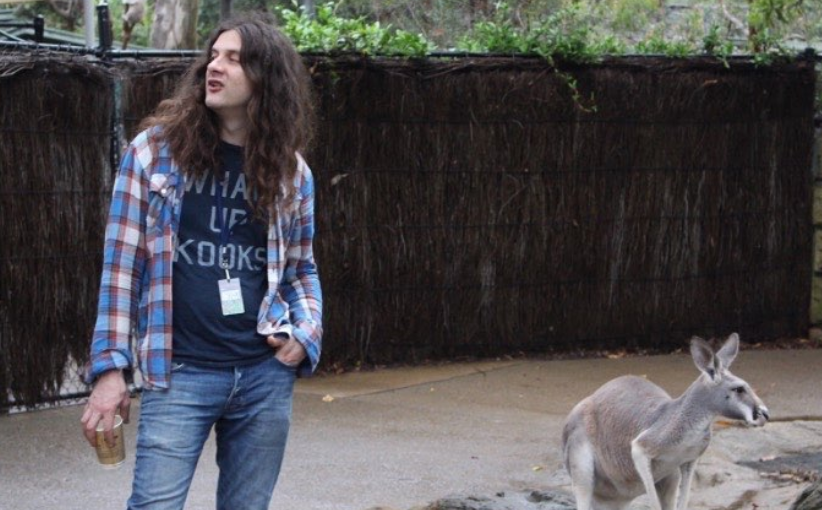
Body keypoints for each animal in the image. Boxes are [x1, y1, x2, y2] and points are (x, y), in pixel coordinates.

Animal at [562, 333, 769, 510]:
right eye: (739, 389)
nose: (765, 414)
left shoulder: (690, 459)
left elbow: (683, 499)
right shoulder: (644, 445)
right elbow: (651, 493)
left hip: (668, 476)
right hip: (579, 454)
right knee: (583, 489)